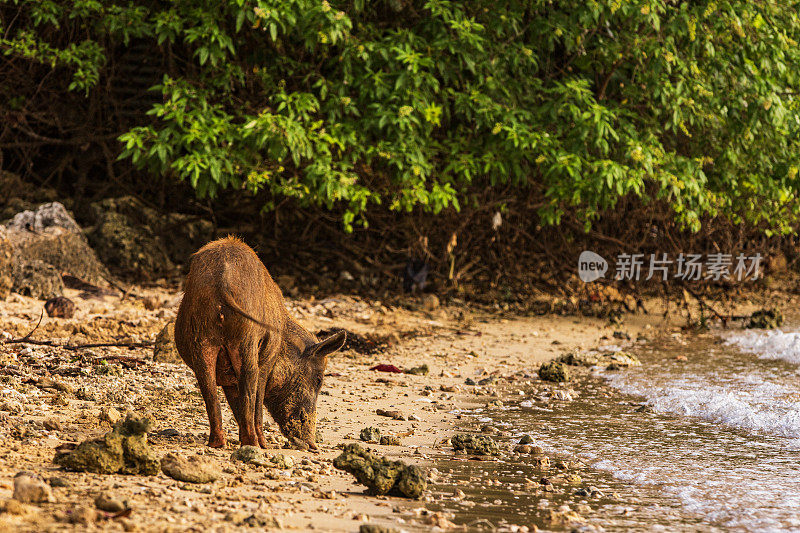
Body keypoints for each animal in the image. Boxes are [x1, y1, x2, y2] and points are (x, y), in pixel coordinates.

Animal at [175, 237, 344, 448]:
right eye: (319, 379)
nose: (312, 445)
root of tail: (222, 281)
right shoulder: (269, 359)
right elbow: (257, 398)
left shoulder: (228, 378)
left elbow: (235, 404)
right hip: (247, 340)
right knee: (250, 385)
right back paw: (257, 444)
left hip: (201, 338)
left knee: (209, 390)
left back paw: (218, 444)